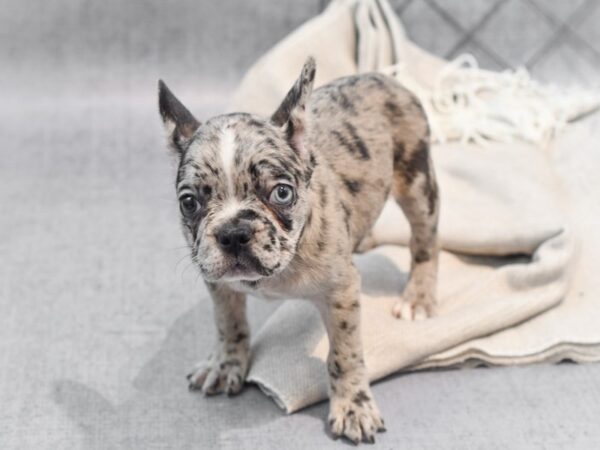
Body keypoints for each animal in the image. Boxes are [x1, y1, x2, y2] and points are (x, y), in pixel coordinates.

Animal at [158, 58, 440, 444]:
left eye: (282, 193)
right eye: (189, 202)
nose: (234, 232)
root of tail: (381, 76)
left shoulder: (341, 292)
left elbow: (344, 354)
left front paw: (353, 406)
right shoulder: (218, 284)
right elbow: (228, 324)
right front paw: (226, 363)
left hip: (416, 180)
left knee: (425, 240)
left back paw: (418, 298)